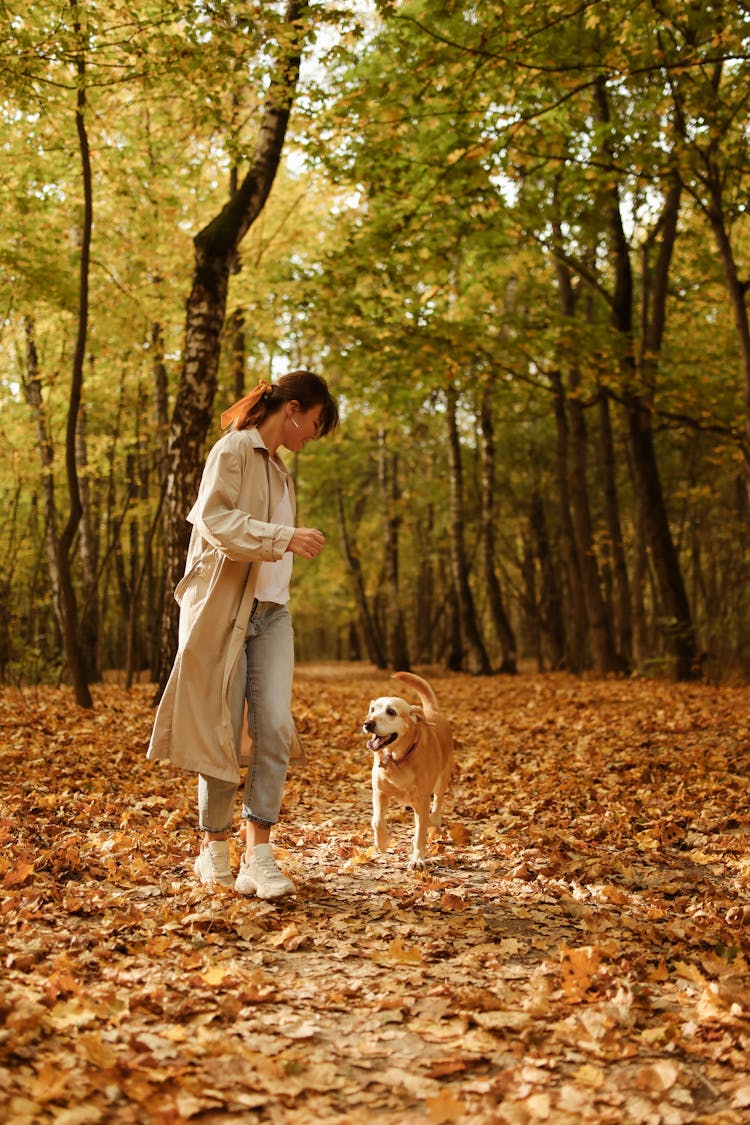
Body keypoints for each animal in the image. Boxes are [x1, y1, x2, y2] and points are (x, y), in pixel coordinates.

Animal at [362, 666, 454, 868]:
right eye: (372, 709)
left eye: (391, 712)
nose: (368, 723)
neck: (398, 759)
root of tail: (430, 710)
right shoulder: (379, 792)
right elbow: (377, 821)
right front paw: (382, 842)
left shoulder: (422, 799)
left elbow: (420, 832)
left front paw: (418, 858)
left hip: (442, 778)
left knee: (437, 801)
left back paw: (435, 820)